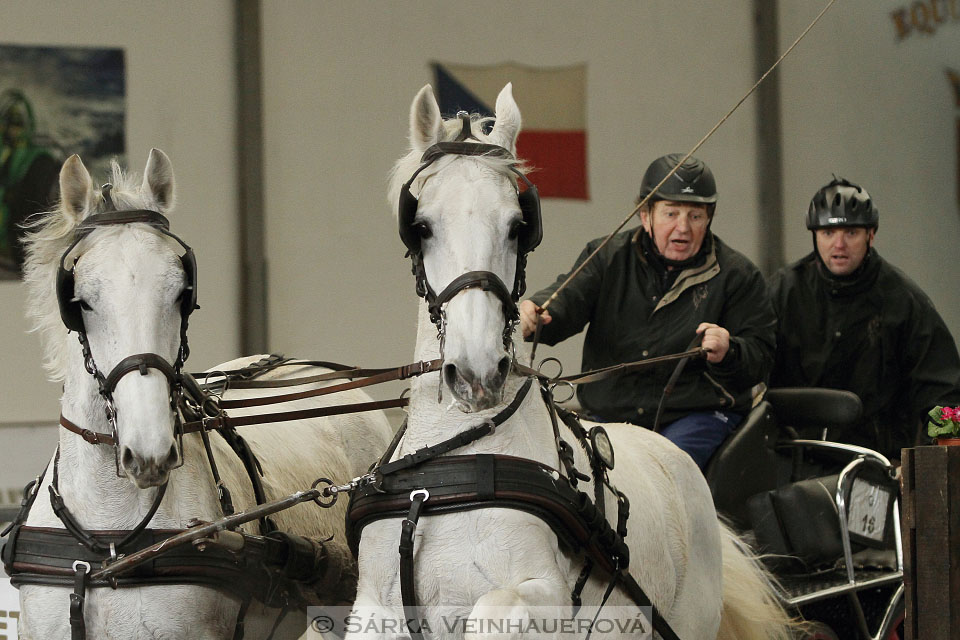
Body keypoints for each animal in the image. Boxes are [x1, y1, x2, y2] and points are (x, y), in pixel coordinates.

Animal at [348, 86, 792, 640]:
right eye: (421, 226)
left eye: (518, 227)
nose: (476, 374)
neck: (454, 460)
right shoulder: (374, 608)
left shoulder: (540, 592)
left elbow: (493, 610)